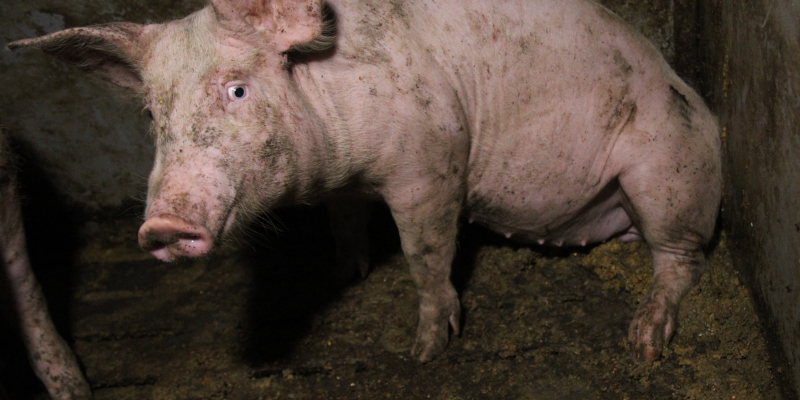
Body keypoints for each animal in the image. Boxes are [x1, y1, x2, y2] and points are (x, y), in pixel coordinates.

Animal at [9, 0, 721, 363]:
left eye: (238, 89)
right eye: (153, 114)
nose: (160, 225)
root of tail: (708, 115)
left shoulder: (433, 162)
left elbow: (426, 254)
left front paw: (424, 352)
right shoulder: (344, 186)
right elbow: (344, 223)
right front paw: (345, 274)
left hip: (666, 170)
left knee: (682, 259)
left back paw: (645, 342)